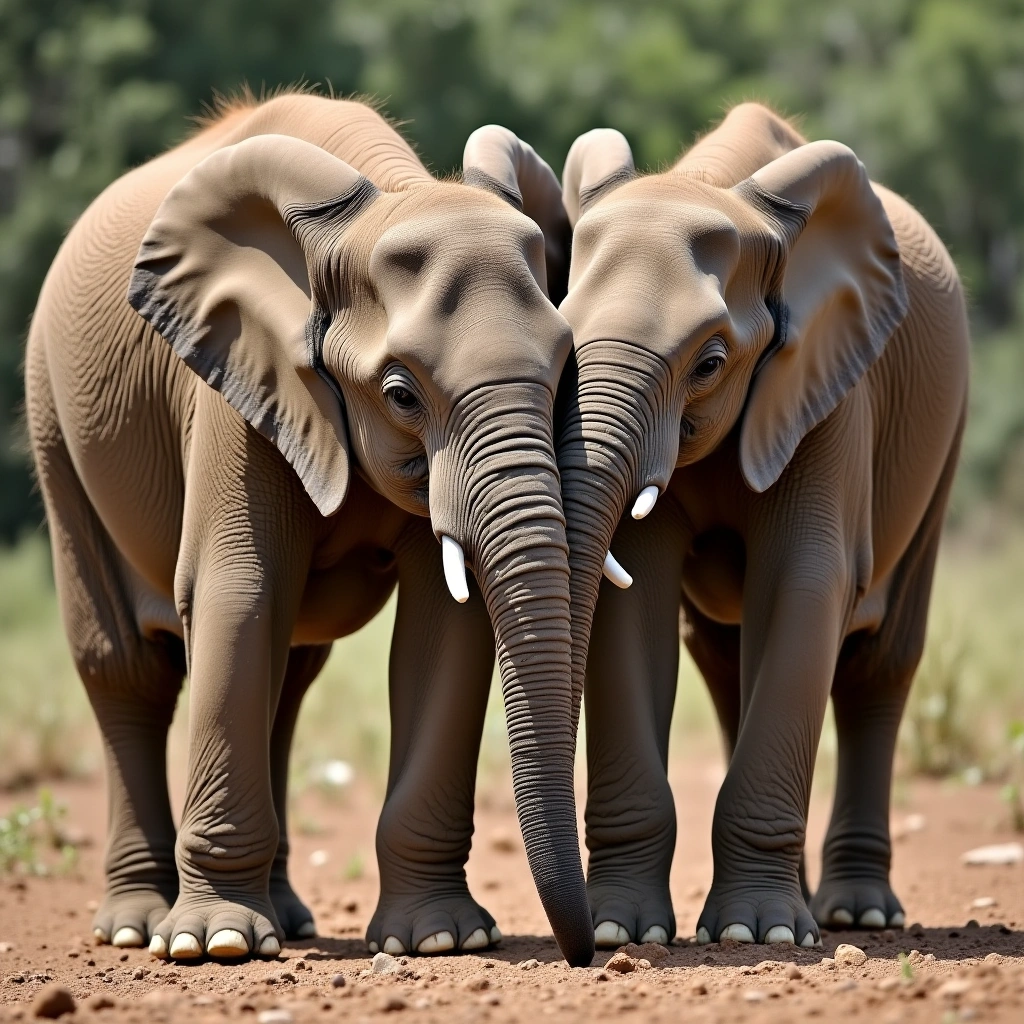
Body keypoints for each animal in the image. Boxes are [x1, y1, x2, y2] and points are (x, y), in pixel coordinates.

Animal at [25, 91, 596, 966]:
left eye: (566, 368)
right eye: (401, 394)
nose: (586, 953)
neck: (390, 193)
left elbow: (444, 621)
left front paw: (440, 940)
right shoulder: (234, 376)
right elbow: (237, 590)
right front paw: (216, 945)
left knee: (289, 675)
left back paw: (288, 918)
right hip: (52, 417)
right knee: (125, 670)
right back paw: (134, 925)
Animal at [552, 103, 969, 948]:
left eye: (710, 363)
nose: (579, 946)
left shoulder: (829, 385)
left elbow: (805, 584)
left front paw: (759, 935)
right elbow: (637, 599)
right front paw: (624, 933)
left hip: (945, 441)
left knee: (880, 661)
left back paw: (855, 914)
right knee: (722, 660)